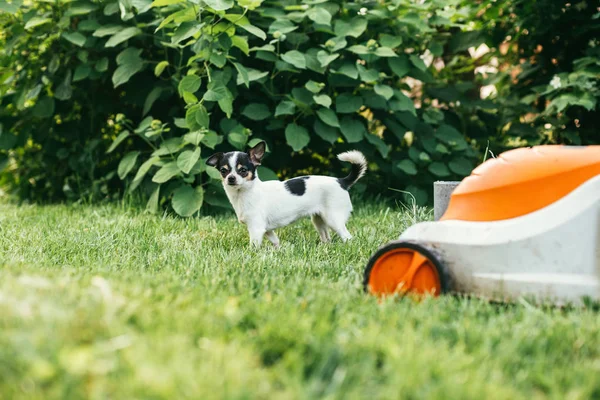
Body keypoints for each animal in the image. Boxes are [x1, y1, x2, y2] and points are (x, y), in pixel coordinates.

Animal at [206, 141, 366, 247]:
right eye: (223, 171)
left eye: (243, 170)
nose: (231, 178)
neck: (245, 194)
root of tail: (341, 181)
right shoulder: (266, 230)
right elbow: (275, 241)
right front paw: (278, 251)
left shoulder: (256, 228)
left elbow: (254, 246)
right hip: (319, 220)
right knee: (326, 237)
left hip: (334, 219)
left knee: (347, 237)